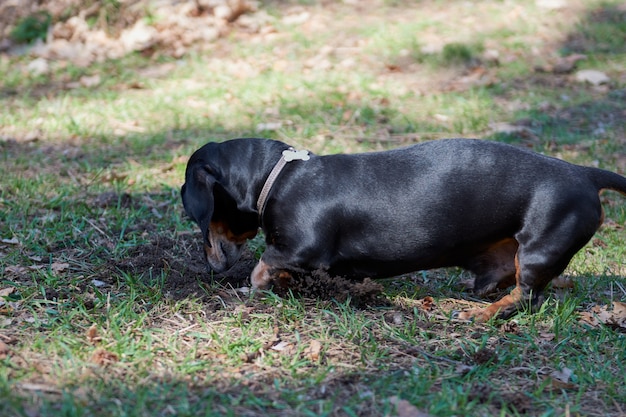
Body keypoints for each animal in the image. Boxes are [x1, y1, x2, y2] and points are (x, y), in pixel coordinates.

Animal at [180, 138, 624, 320]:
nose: (210, 267)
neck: (281, 175)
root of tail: (584, 173)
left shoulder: (302, 247)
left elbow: (264, 264)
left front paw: (250, 289)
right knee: (505, 280)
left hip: (538, 250)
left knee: (525, 297)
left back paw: (479, 315)